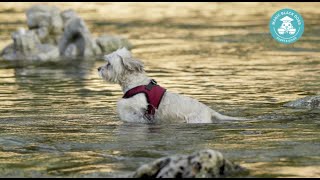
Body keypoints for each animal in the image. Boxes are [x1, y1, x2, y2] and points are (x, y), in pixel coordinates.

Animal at [97, 47, 245, 124]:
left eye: (108, 64)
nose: (98, 68)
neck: (136, 82)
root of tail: (208, 110)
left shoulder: (138, 104)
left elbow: (124, 105)